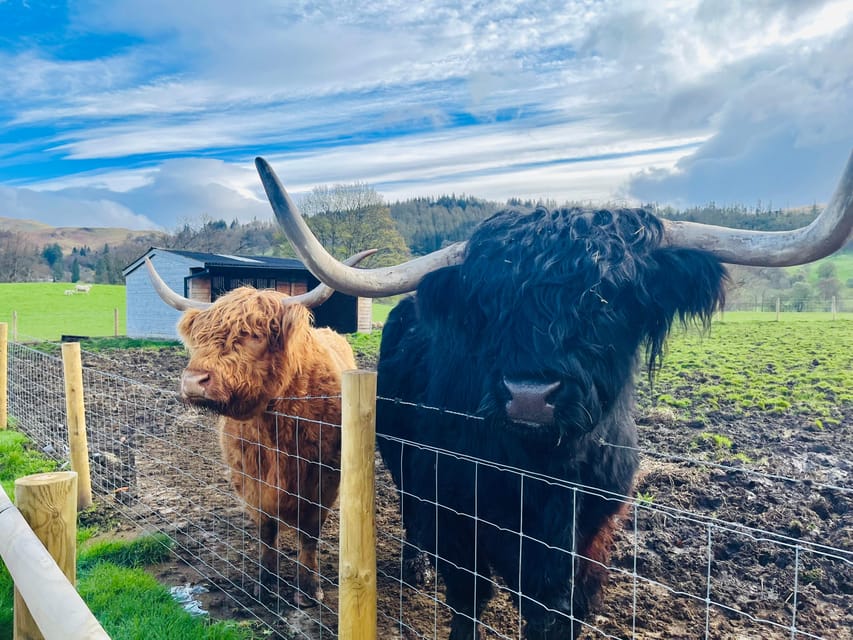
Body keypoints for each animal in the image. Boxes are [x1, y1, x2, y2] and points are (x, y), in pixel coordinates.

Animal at [253, 151, 852, 640]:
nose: (529, 395)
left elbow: (556, 615)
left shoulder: (589, 538)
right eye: (488, 302)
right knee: (413, 519)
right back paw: (412, 569)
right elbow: (469, 600)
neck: (543, 474)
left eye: (608, 296)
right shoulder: (459, 520)